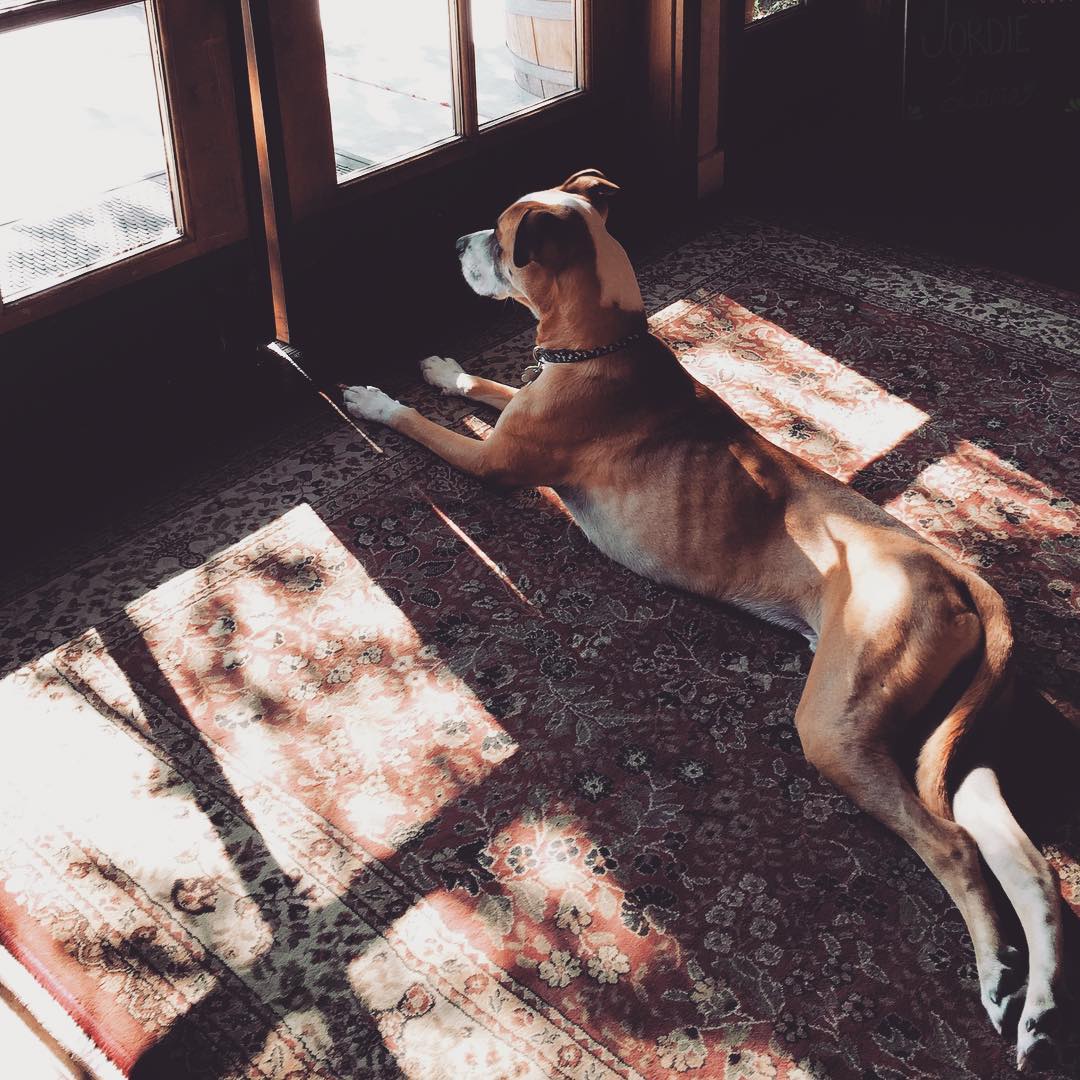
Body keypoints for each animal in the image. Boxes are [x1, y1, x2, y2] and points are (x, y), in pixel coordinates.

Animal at [342, 169, 1064, 1071]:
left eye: (503, 239)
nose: (452, 242)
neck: (599, 343)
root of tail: (953, 568)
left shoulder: (493, 462)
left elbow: (422, 423)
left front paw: (373, 397)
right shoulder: (515, 410)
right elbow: (482, 385)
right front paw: (442, 365)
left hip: (837, 728)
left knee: (956, 848)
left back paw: (996, 977)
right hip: (960, 739)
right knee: (1028, 865)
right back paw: (1039, 1007)